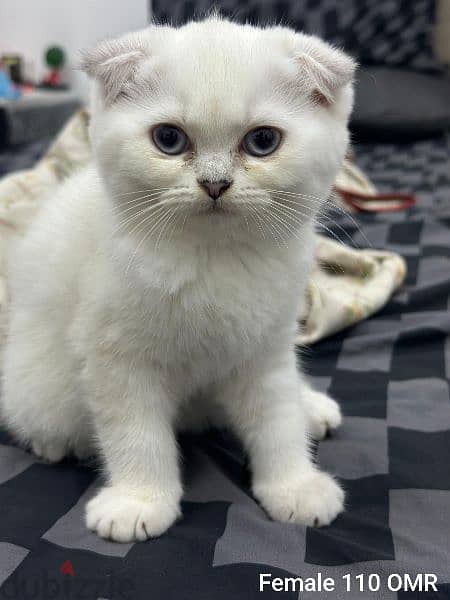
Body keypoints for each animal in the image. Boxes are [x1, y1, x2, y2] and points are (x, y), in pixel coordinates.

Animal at [0, 17, 356, 544]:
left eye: (263, 141)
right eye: (169, 139)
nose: (215, 184)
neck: (213, 260)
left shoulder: (266, 348)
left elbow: (277, 418)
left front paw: (294, 485)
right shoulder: (117, 360)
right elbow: (137, 435)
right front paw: (139, 501)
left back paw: (310, 406)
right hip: (37, 383)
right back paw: (58, 444)